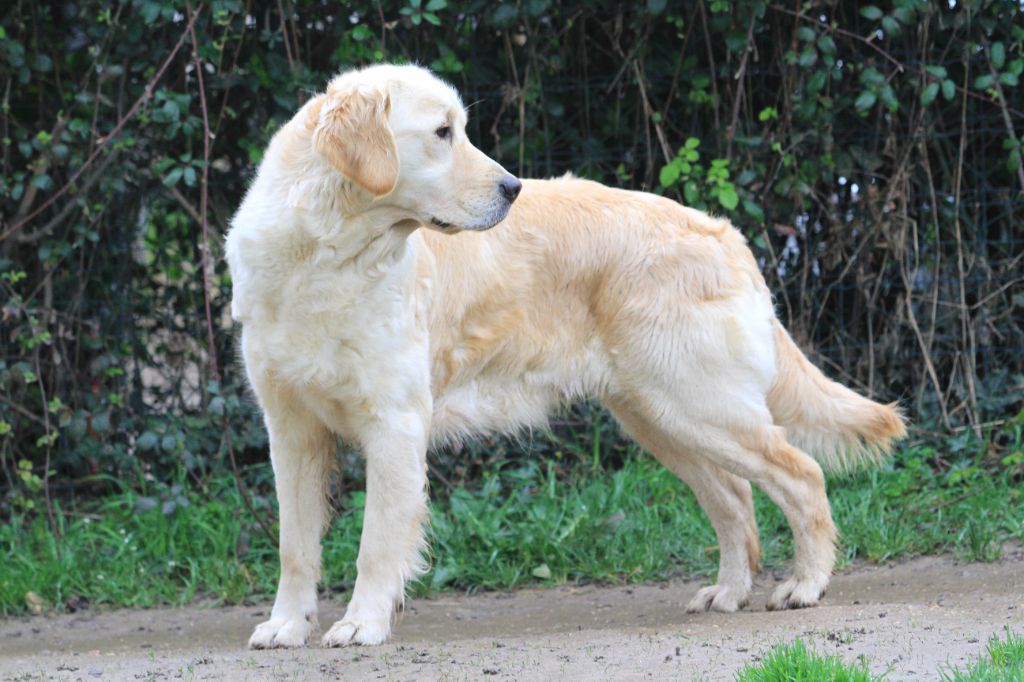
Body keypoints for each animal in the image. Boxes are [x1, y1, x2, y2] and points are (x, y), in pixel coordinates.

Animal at [226, 65, 905, 647]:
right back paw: (729, 593)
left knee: (800, 474)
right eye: (443, 133)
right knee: (736, 501)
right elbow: (294, 546)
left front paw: (362, 624)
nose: (513, 188)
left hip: (699, 406)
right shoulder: (290, 431)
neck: (325, 254)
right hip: (661, 418)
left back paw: (806, 584)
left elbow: (375, 545)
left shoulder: (394, 423)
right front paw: (286, 627)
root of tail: (727, 234)